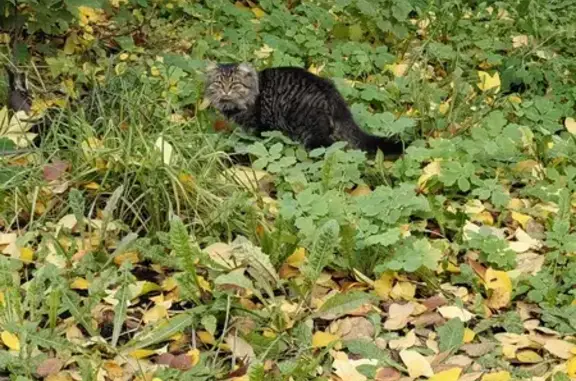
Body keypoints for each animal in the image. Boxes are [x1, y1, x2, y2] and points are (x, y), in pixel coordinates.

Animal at [205, 62, 402, 154]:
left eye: (234, 84)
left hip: (311, 131)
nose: (226, 90)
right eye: (219, 83)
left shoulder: (260, 125)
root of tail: (330, 91)